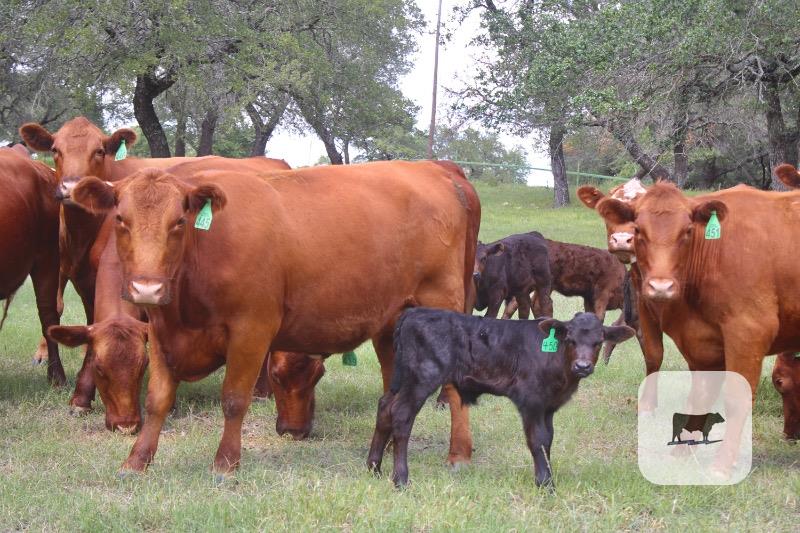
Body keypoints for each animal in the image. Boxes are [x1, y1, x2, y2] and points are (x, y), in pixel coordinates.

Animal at [69, 160, 480, 476]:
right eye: (120, 219)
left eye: (179, 222)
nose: (147, 288)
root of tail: (432, 168)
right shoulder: (160, 332)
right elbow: (157, 400)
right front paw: (136, 462)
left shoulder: (252, 330)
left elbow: (235, 399)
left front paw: (225, 465)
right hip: (391, 323)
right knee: (393, 392)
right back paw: (384, 457)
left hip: (444, 305)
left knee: (452, 387)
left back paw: (459, 454)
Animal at [366, 309, 635, 488]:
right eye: (570, 339)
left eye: (598, 342)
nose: (582, 366)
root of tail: (413, 313)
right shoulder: (531, 400)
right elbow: (537, 440)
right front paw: (545, 484)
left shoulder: (548, 406)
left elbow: (548, 440)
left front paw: (547, 477)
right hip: (422, 378)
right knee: (401, 415)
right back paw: (400, 479)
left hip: (403, 378)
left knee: (385, 407)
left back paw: (374, 468)